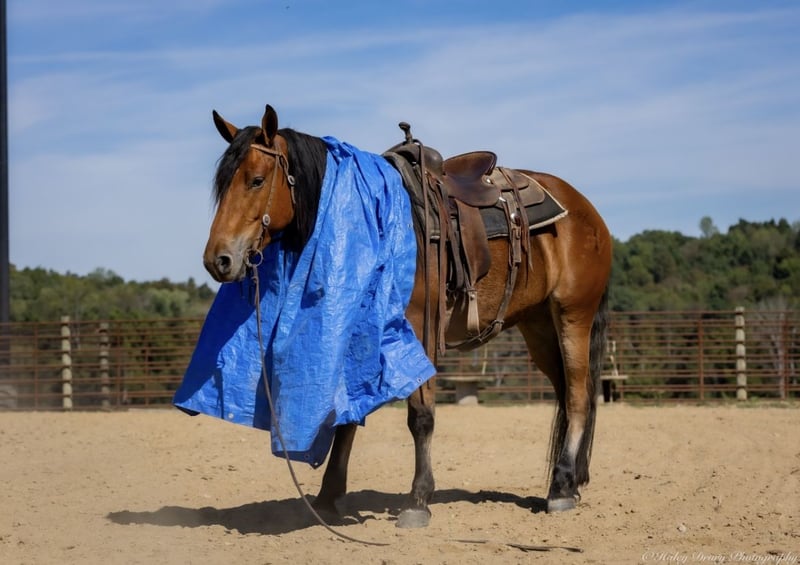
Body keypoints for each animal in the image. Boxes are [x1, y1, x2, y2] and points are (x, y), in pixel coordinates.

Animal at [201, 104, 612, 528]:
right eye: (222, 185)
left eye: (256, 180)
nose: (219, 260)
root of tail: (586, 210)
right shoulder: (359, 332)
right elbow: (347, 418)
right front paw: (329, 497)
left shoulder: (419, 328)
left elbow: (421, 416)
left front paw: (418, 499)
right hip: (539, 327)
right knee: (565, 394)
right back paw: (570, 483)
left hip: (572, 316)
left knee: (579, 397)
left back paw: (560, 489)